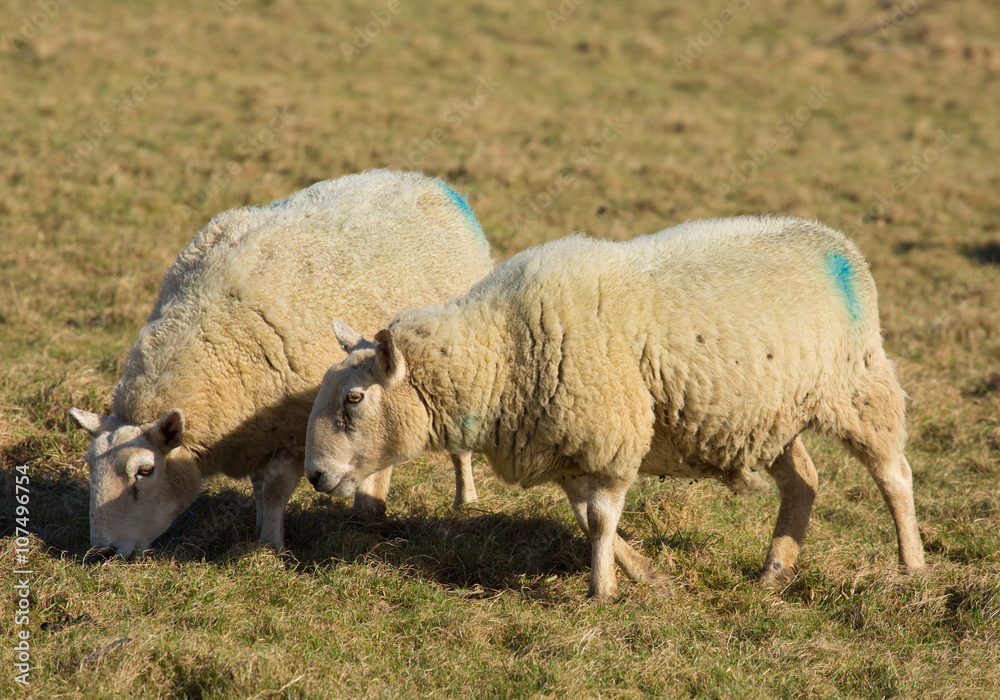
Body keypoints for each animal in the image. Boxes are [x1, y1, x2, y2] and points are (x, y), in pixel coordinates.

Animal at [68, 169, 494, 558]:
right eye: (90, 467)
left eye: (145, 471)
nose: (101, 551)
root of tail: (427, 181)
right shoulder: (258, 429)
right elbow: (260, 486)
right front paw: (260, 530)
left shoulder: (292, 428)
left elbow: (273, 488)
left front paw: (270, 547)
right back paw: (368, 510)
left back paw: (465, 502)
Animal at [304, 215, 926, 601]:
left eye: (354, 398)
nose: (315, 475)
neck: (501, 349)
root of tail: (835, 240)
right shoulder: (566, 447)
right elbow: (588, 520)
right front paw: (648, 578)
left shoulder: (608, 434)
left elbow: (601, 519)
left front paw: (600, 592)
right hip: (768, 415)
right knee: (803, 482)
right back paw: (774, 573)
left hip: (858, 385)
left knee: (894, 475)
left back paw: (911, 566)